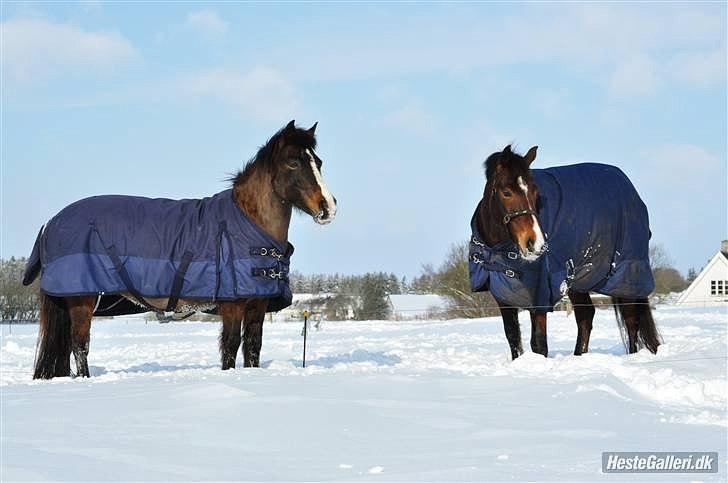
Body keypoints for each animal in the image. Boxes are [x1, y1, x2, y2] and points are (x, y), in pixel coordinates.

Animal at [22, 120, 336, 378]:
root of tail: (51, 222)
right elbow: (230, 348)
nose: (328, 208)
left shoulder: (257, 304)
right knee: (80, 345)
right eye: (293, 163)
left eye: (318, 162)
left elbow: (253, 348)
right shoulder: (233, 305)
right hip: (81, 300)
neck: (246, 224)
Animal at [470, 146, 664, 362]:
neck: (499, 250)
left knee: (631, 320)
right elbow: (513, 336)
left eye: (536, 192)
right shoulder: (502, 295)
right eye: (506, 192)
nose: (536, 243)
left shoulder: (540, 293)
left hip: (627, 275)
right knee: (586, 316)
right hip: (579, 280)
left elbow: (539, 343)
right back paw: (579, 356)